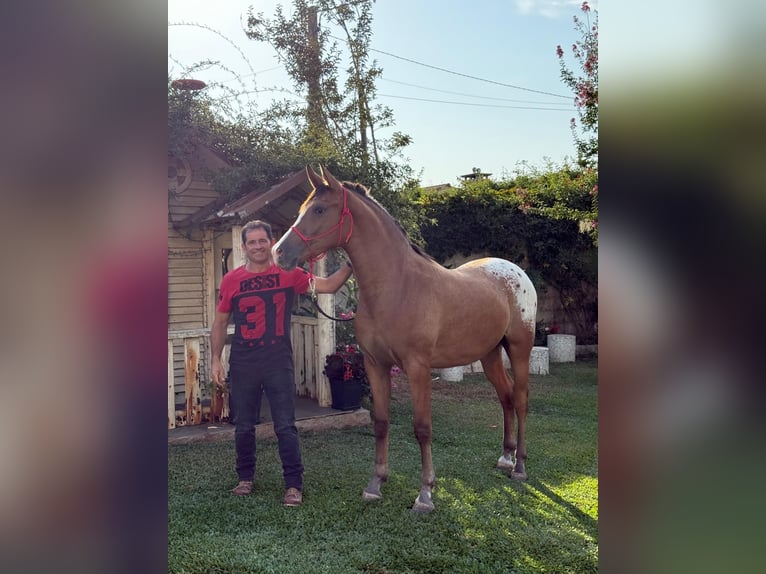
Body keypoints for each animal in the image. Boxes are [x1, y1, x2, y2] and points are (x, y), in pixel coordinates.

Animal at [273, 165, 537, 513]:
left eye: (318, 209)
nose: (278, 252)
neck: (397, 286)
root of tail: (516, 272)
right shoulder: (375, 365)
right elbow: (381, 422)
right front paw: (375, 484)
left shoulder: (417, 367)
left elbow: (422, 428)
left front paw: (425, 493)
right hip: (490, 354)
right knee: (505, 397)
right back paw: (505, 457)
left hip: (519, 348)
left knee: (519, 400)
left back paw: (519, 466)